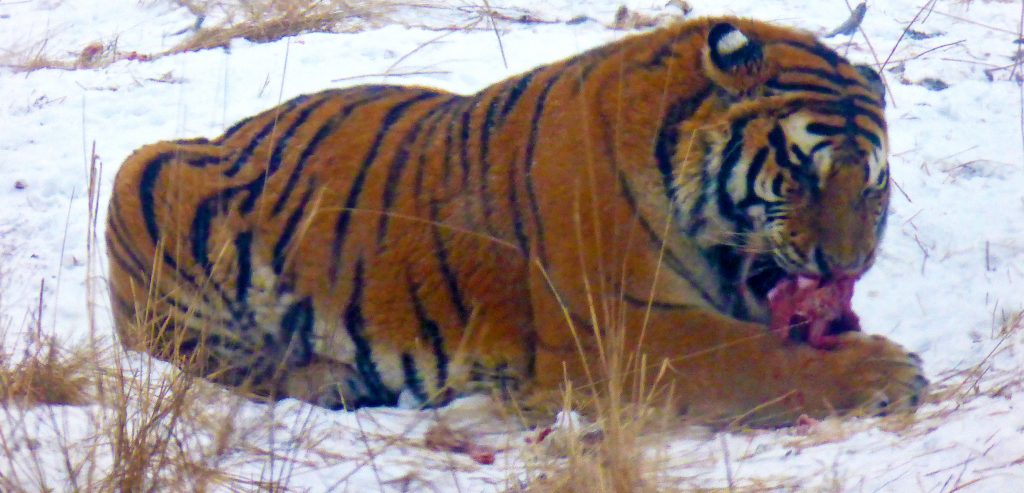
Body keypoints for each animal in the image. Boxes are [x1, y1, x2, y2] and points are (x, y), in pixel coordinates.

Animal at [105, 14, 929, 422]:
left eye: (872, 188)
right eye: (801, 173)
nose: (847, 267)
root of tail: (224, 135)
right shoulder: (620, 332)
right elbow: (758, 357)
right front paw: (886, 370)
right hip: (142, 175)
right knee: (195, 354)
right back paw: (328, 381)